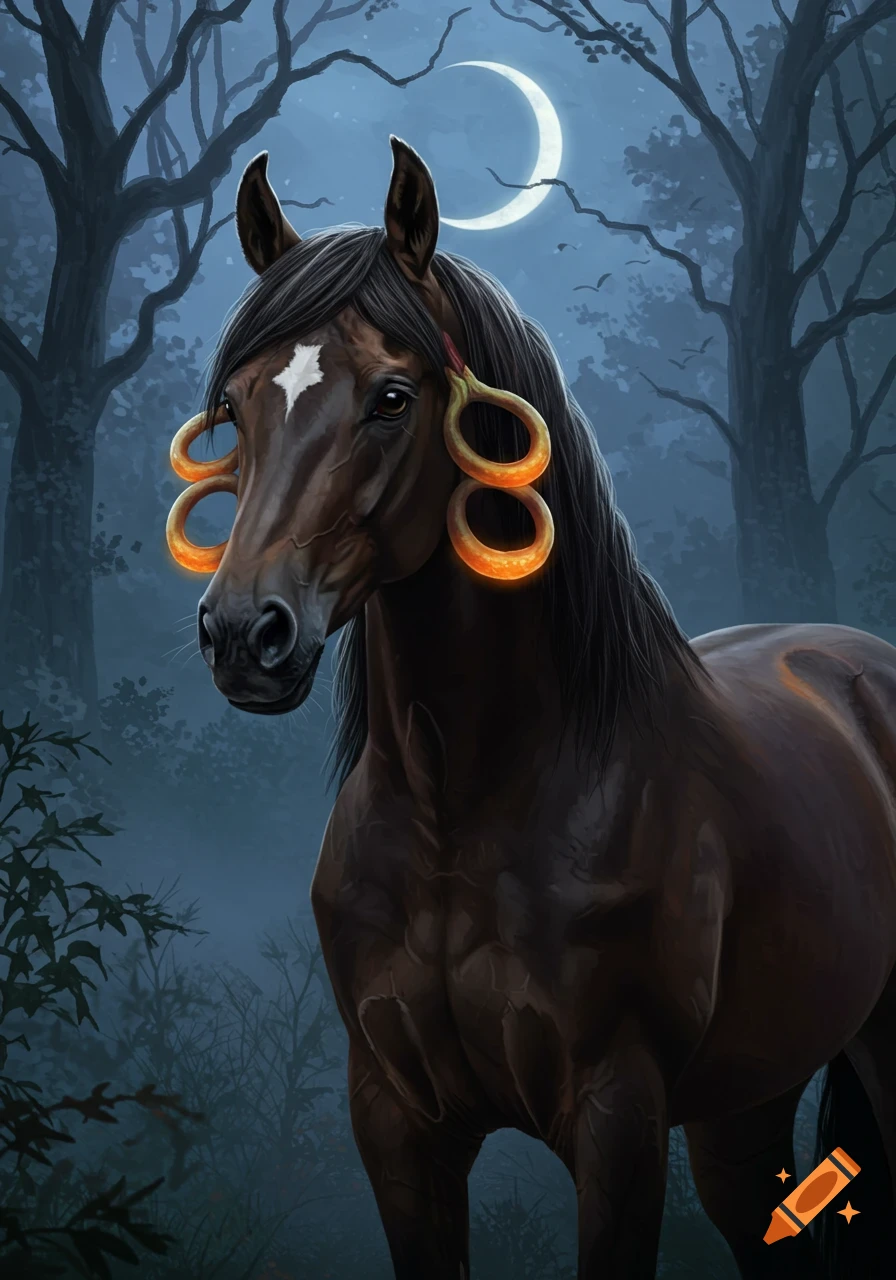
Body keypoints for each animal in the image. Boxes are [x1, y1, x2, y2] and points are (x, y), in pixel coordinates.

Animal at [167, 137, 896, 1279]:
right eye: (236, 406)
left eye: (391, 396)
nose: (245, 633)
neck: (463, 807)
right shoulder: (396, 1122)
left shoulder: (616, 1121)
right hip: (746, 1106)